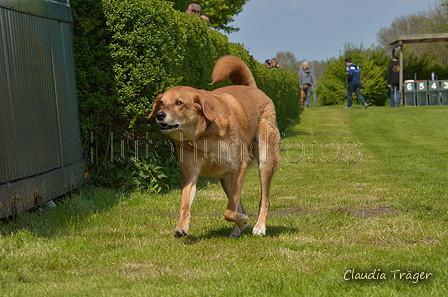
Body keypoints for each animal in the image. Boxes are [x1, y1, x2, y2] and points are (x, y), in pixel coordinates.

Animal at [147, 55, 280, 236]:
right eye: (161, 102)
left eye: (178, 102)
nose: (160, 115)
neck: (204, 134)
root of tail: (252, 89)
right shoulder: (190, 174)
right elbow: (185, 204)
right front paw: (181, 226)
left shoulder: (239, 167)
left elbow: (229, 211)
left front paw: (245, 221)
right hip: (225, 178)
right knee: (240, 206)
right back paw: (237, 229)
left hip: (265, 161)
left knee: (264, 200)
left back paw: (259, 226)